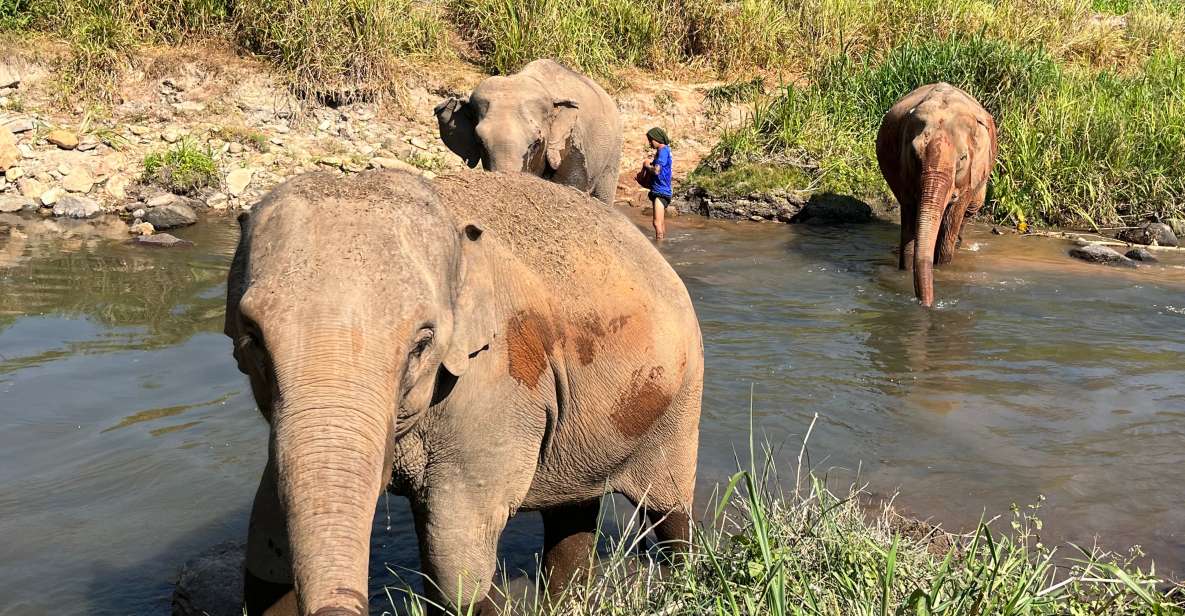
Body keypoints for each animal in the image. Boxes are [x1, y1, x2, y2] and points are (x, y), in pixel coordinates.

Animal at [224, 168, 703, 616]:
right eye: (252, 336)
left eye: (422, 342)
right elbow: (266, 530)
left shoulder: (496, 380)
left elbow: (456, 557)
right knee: (572, 510)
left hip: (681, 396)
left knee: (668, 509)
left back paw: (684, 577)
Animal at [876, 82, 998, 307]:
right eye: (914, 155)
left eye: (962, 158)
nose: (928, 305)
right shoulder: (905, 172)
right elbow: (910, 222)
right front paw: (905, 269)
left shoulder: (970, 175)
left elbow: (953, 216)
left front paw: (942, 268)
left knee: (972, 208)